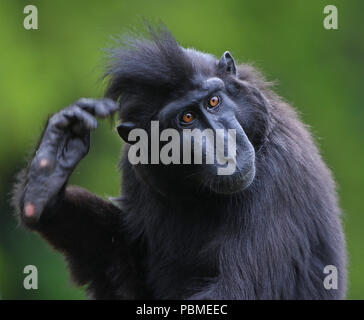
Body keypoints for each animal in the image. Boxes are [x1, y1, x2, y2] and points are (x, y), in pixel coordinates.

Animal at [12, 27, 346, 300]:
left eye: (213, 101)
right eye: (186, 118)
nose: (224, 147)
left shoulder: (277, 177)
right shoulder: (135, 168)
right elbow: (121, 266)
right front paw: (47, 178)